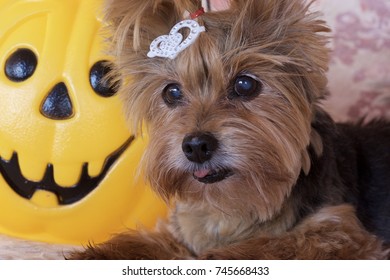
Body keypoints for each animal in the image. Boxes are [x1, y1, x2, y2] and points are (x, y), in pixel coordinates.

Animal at [71, 0, 390, 260]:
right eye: (171, 93)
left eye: (245, 85)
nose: (196, 146)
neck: (233, 204)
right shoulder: (185, 230)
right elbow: (160, 241)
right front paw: (94, 254)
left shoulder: (342, 232)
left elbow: (279, 244)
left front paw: (219, 255)